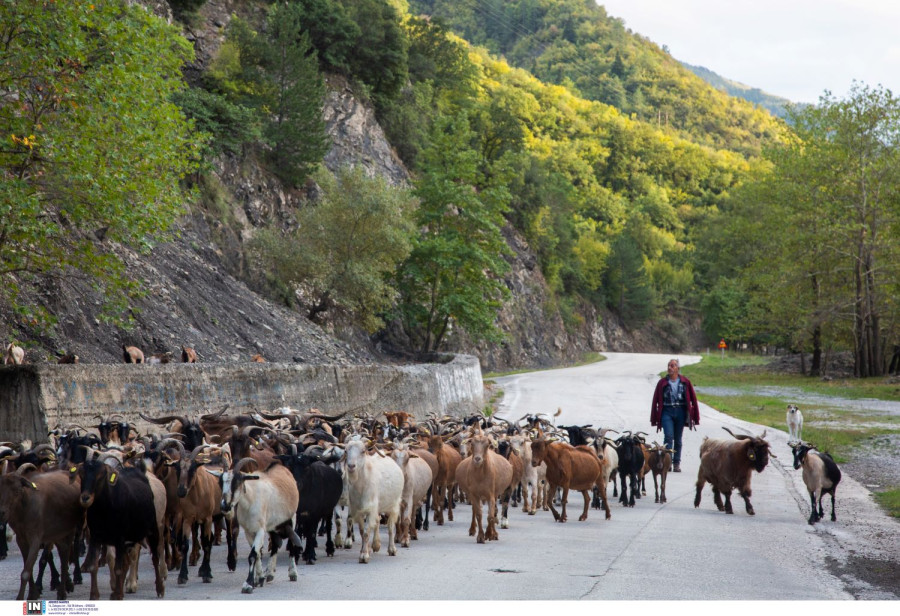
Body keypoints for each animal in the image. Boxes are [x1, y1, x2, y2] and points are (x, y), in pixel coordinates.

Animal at [342, 434, 402, 564]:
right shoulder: (358, 510)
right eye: (346, 451)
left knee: (390, 527)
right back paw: (376, 545)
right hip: (377, 506)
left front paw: (364, 556)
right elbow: (361, 531)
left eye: (363, 451)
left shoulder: (370, 509)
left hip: (394, 505)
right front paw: (365, 550)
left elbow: (366, 532)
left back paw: (392, 549)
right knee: (378, 521)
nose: (351, 466)